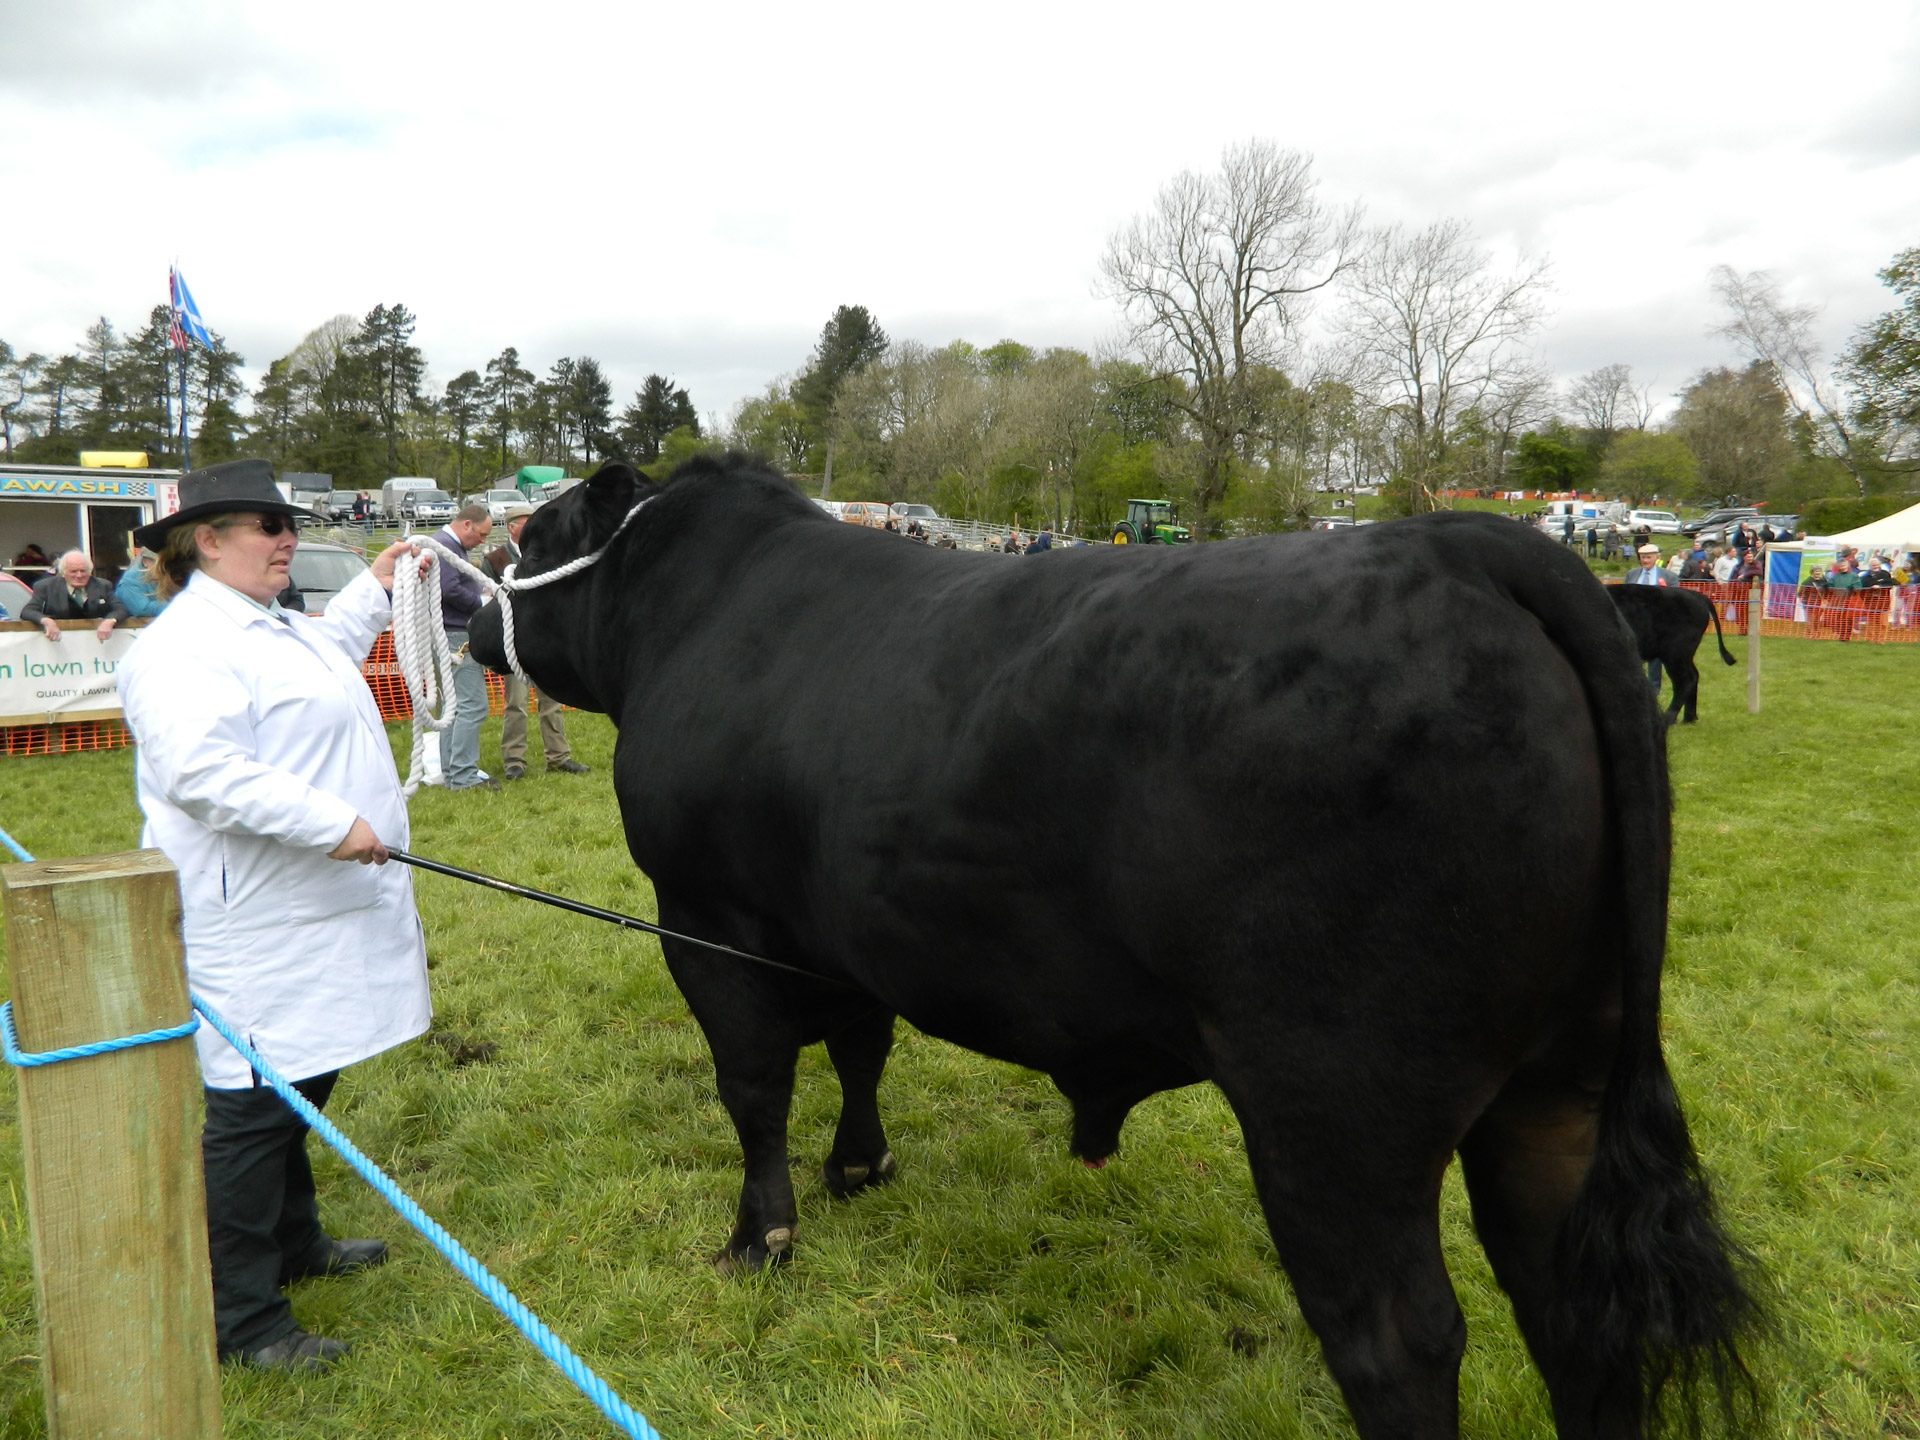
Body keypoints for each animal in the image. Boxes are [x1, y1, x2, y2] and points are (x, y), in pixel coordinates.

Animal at [472, 458, 1758, 1440]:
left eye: (529, 537)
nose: (477, 613)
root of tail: (1476, 546)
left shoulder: (706, 918)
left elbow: (753, 1085)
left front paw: (759, 1239)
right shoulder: (834, 931)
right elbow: (860, 1049)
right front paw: (861, 1167)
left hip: (1337, 1103)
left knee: (1402, 1340)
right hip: (1560, 1080)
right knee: (1571, 1309)